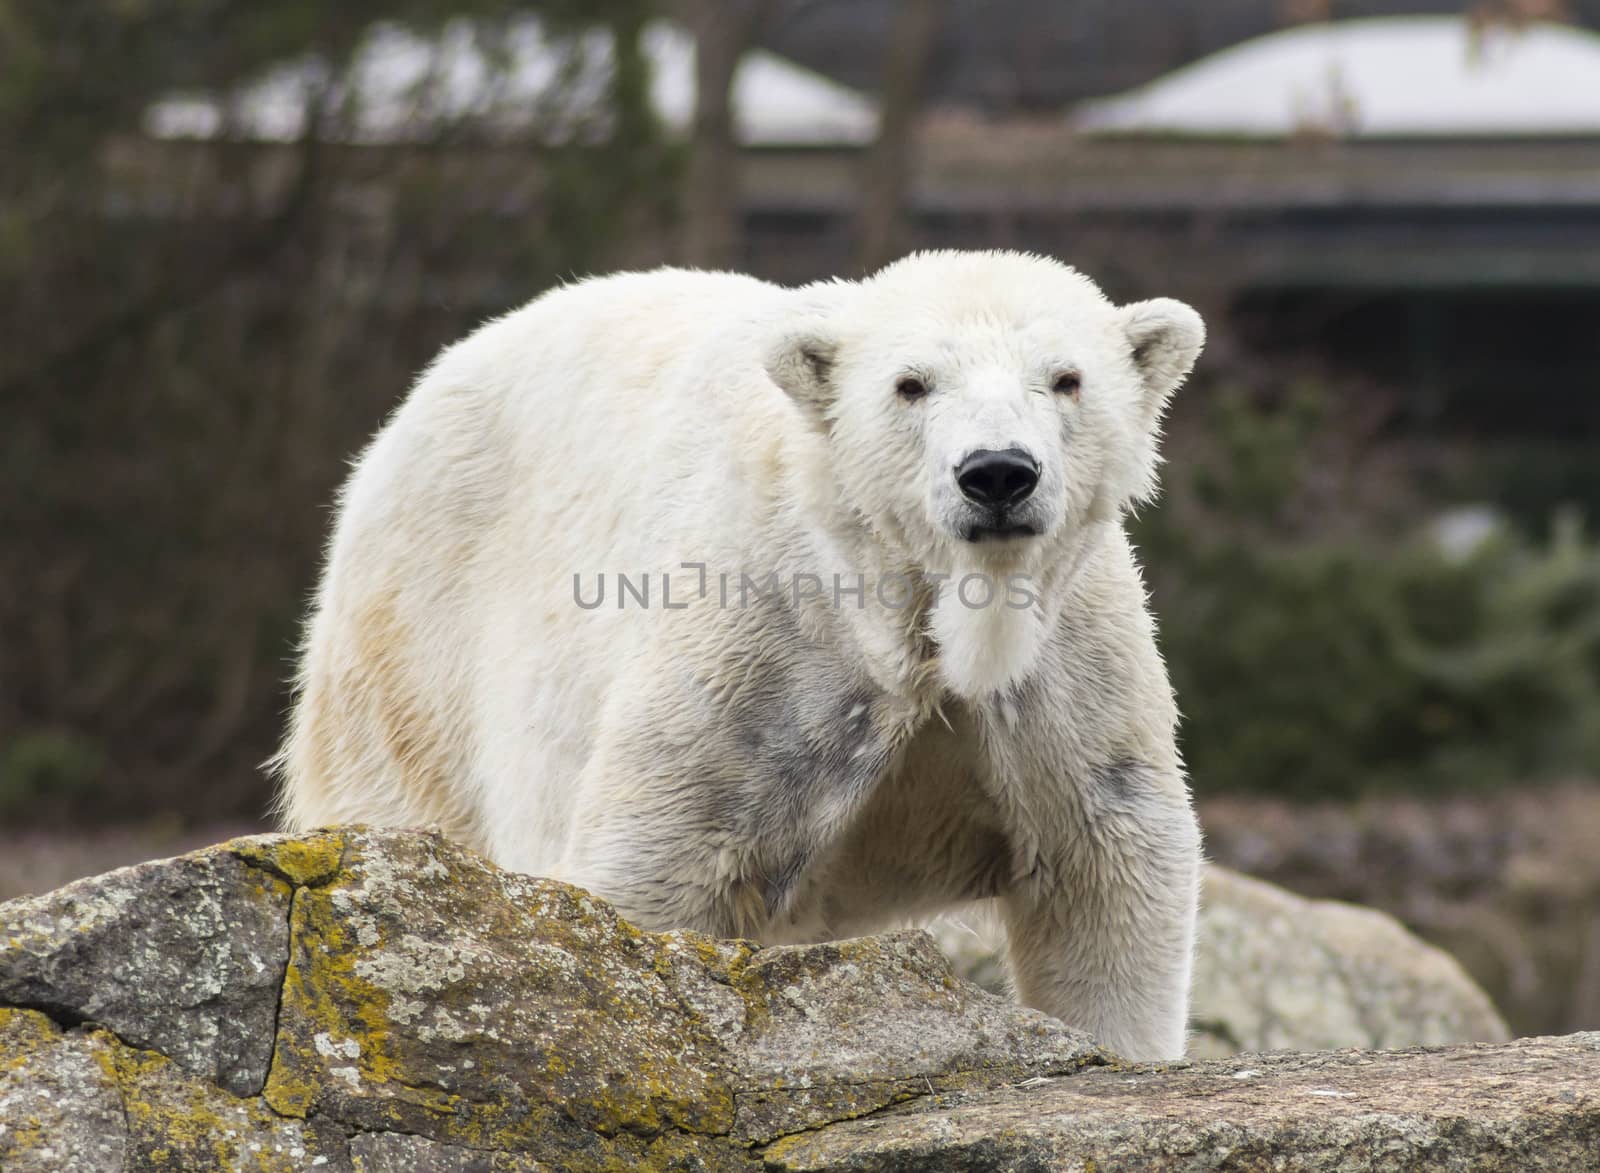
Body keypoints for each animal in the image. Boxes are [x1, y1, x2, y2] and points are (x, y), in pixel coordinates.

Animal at [278, 251, 1203, 1056]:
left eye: (1066, 378)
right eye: (911, 384)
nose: (998, 472)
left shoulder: (1063, 673)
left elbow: (1104, 871)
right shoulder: (763, 649)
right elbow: (653, 862)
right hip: (416, 643)